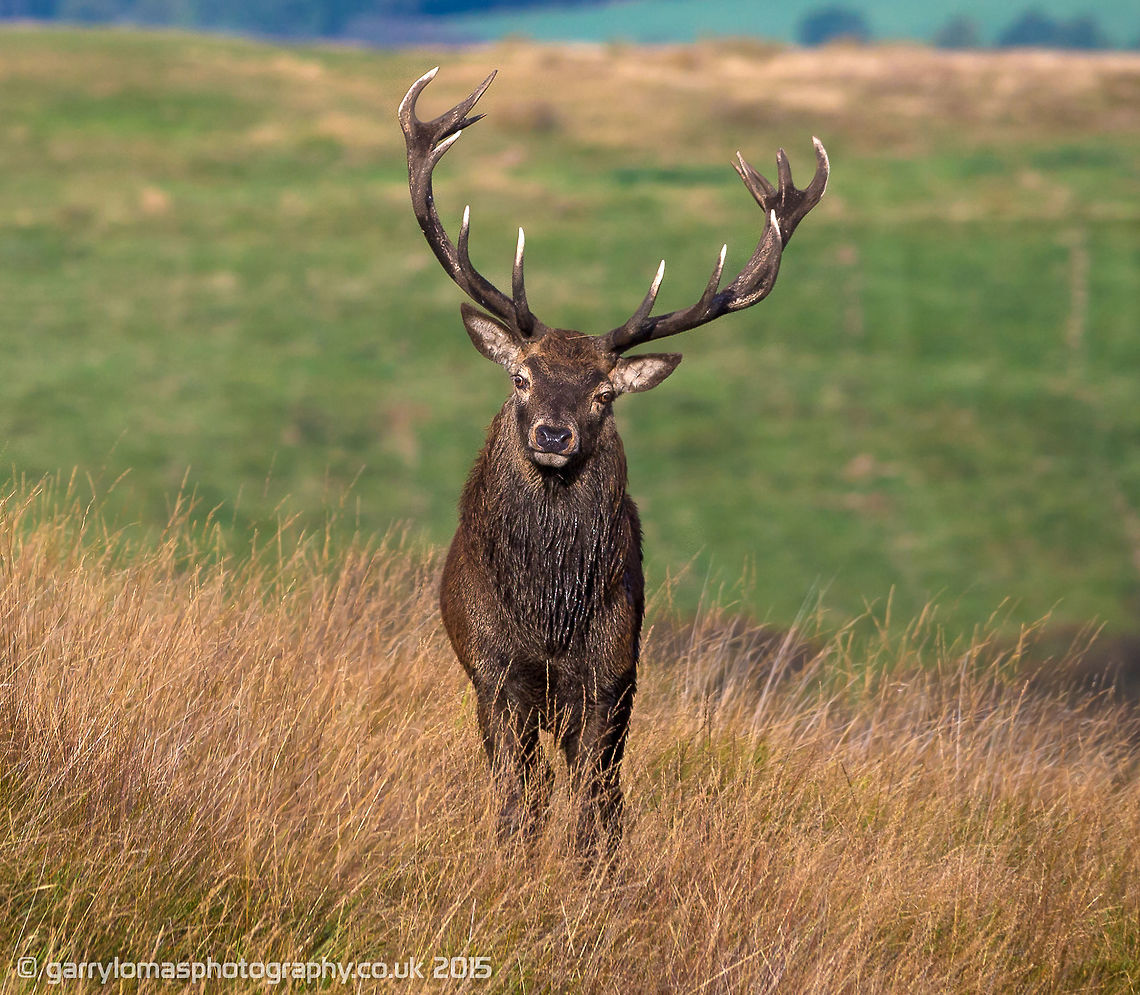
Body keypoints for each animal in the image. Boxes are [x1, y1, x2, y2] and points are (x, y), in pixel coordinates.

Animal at [399, 67, 828, 854]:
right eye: (521, 376)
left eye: (604, 392)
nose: (553, 435)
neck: (549, 611)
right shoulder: (494, 670)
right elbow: (516, 797)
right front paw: (514, 858)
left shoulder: (609, 671)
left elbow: (595, 803)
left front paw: (593, 869)